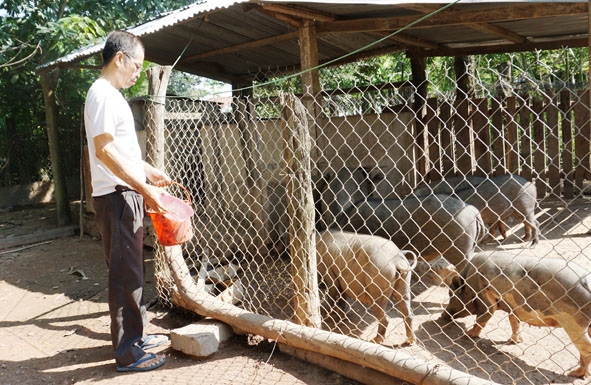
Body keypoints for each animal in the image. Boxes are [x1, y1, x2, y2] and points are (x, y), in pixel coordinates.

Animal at [442, 249, 591, 378]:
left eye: (451, 294)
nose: (443, 315)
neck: (468, 282)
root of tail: (587, 282)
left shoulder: (484, 293)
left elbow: (485, 314)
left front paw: (468, 334)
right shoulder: (513, 306)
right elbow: (514, 322)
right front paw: (514, 341)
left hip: (573, 323)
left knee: (586, 347)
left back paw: (574, 374)